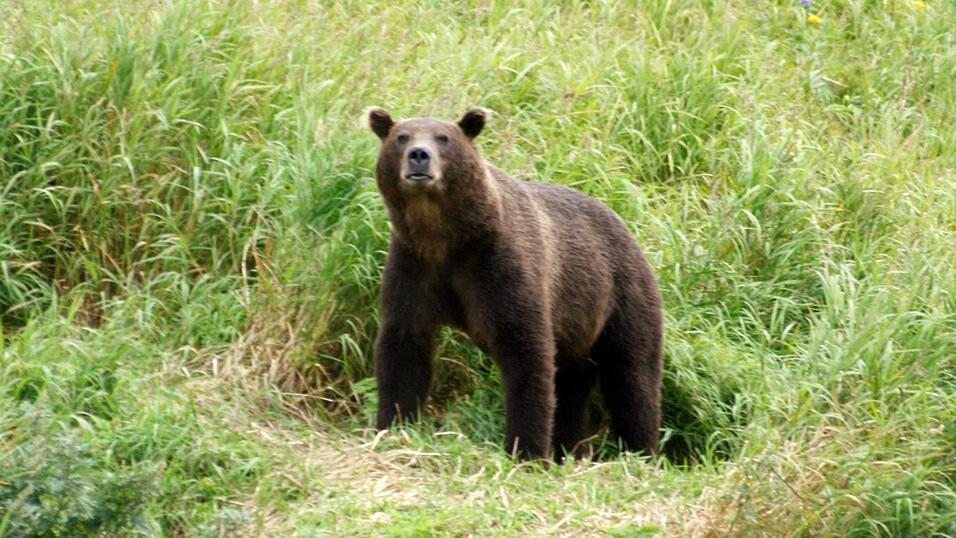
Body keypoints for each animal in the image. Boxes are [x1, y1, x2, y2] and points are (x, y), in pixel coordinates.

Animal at [368, 107, 663, 461]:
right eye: (402, 137)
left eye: (443, 138)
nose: (418, 156)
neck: (446, 239)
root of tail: (628, 229)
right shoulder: (414, 266)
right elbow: (404, 345)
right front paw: (392, 425)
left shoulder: (501, 265)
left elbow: (526, 351)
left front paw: (527, 449)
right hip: (578, 328)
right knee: (572, 386)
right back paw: (570, 448)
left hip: (620, 296)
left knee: (632, 377)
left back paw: (641, 450)